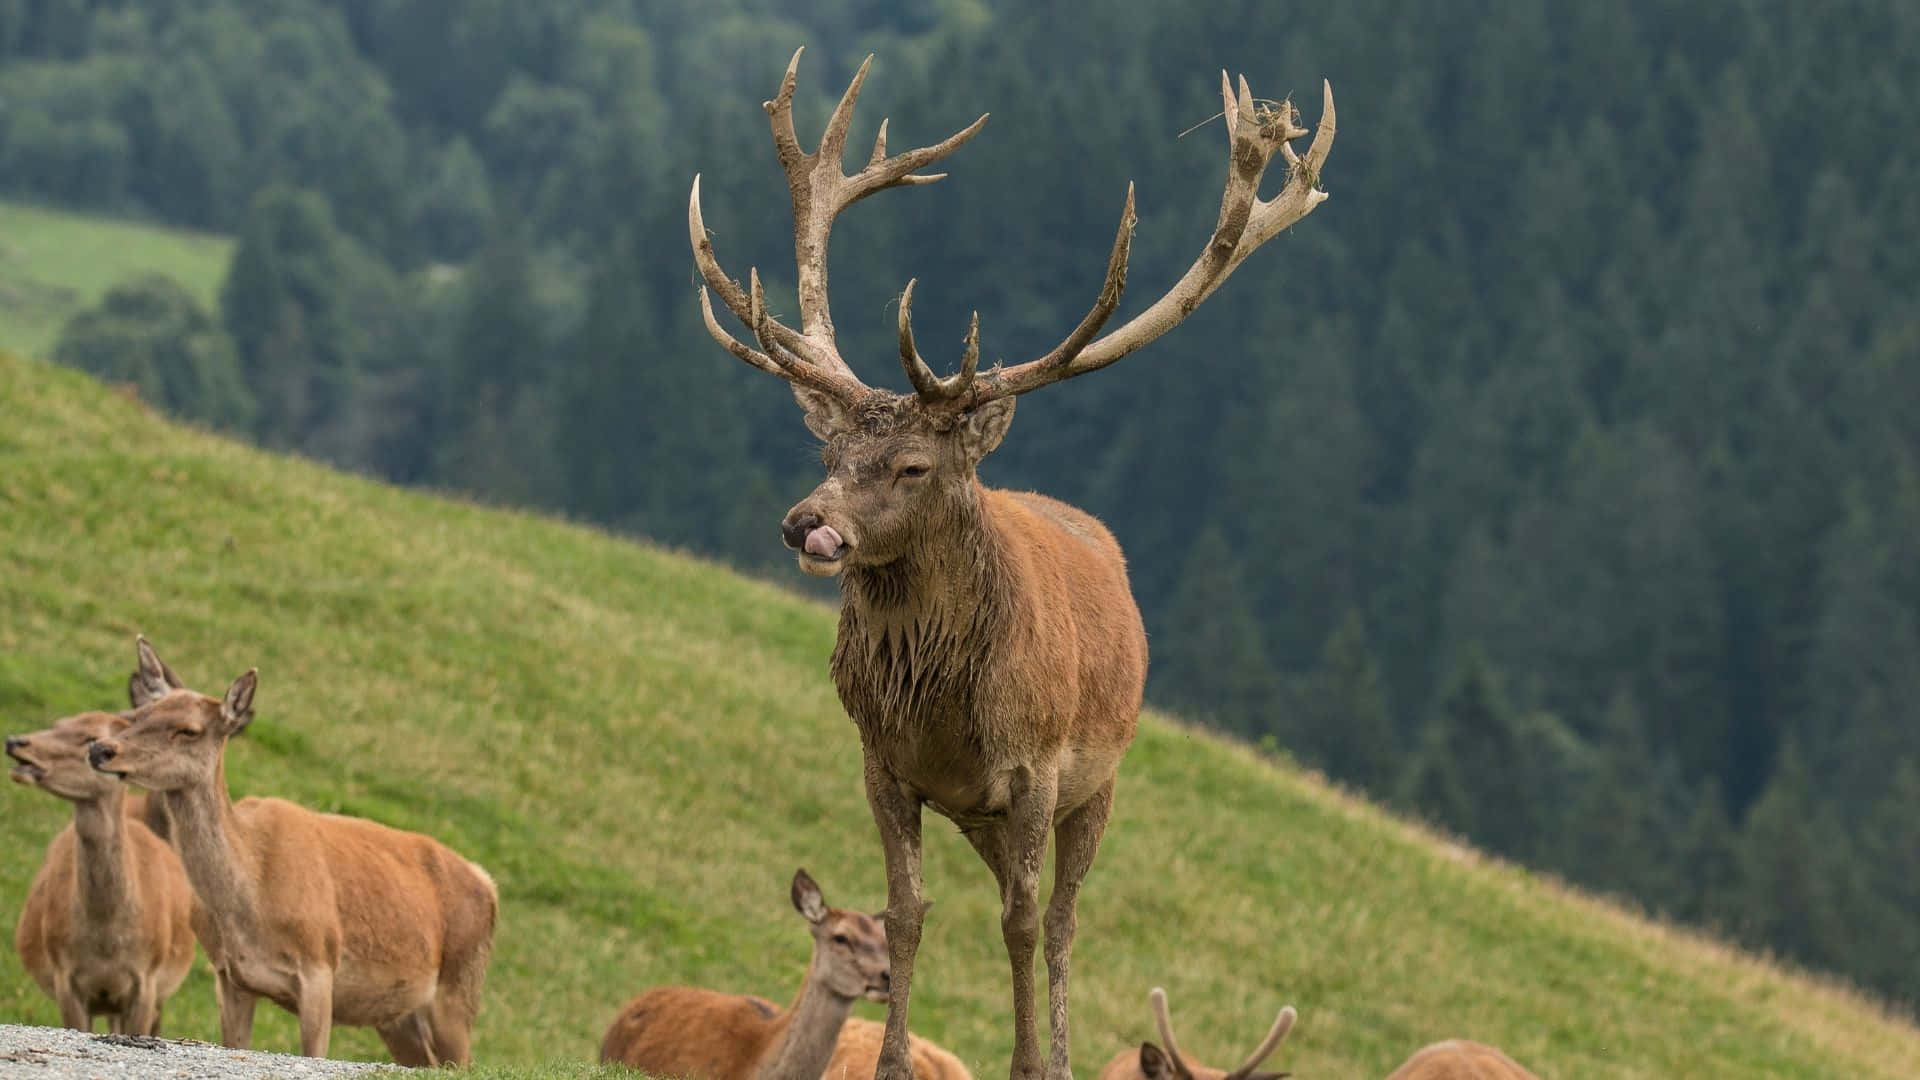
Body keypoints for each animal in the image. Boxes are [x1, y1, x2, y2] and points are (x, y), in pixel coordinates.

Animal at [7, 710, 197, 1035]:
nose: (15, 741)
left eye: (90, 738)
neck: (106, 945)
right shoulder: (65, 978)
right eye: (58, 724)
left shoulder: (146, 981)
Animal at [86, 637, 499, 1066]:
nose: (102, 750)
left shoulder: (319, 968)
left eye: (189, 730)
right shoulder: (230, 976)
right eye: (137, 713)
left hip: (459, 991)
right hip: (399, 1017)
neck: (251, 898)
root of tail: (488, 883)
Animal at [685, 47, 1335, 1080]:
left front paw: (1034, 1060)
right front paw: (891, 1059)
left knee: (1062, 920)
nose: (806, 525)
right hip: (984, 816)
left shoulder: (1035, 769)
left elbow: (1026, 925)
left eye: (914, 465)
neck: (946, 712)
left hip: (1097, 785)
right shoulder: (885, 762)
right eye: (829, 451)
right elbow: (908, 913)